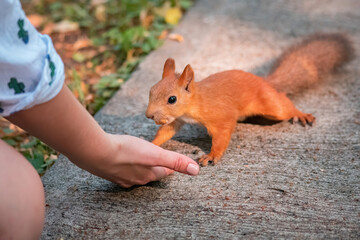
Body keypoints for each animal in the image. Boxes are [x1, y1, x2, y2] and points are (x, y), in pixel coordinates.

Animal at [146, 32, 354, 166]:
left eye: (172, 99)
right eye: (151, 91)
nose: (149, 115)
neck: (196, 101)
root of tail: (265, 82)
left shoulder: (221, 115)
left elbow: (222, 135)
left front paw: (212, 155)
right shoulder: (177, 120)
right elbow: (166, 132)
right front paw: (151, 145)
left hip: (272, 105)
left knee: (283, 103)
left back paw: (299, 113)